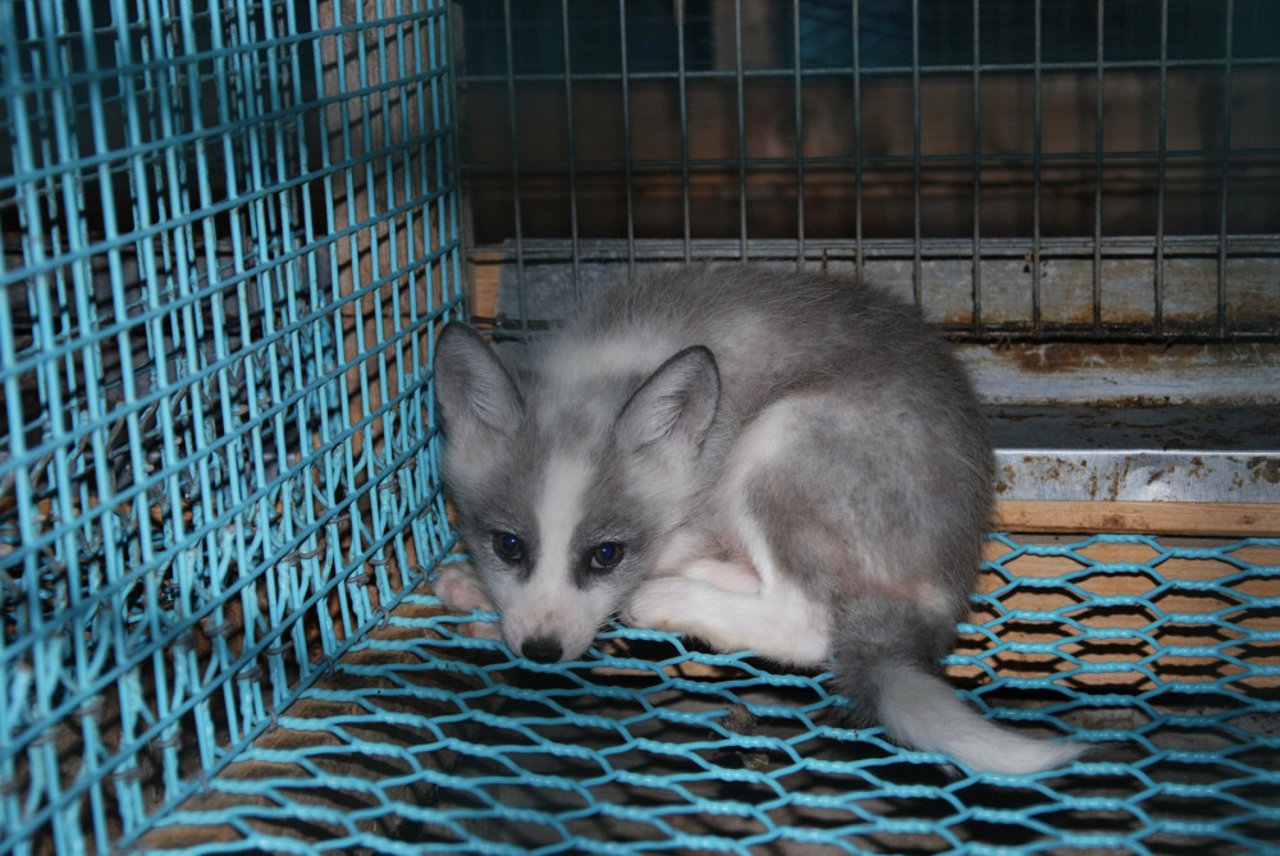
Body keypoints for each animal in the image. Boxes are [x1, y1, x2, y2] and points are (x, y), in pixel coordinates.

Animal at [430, 267, 1080, 772]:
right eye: (508, 546)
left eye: (606, 555)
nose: (540, 652)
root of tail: (944, 587)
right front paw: (478, 592)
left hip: (778, 438)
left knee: (807, 625)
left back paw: (669, 597)